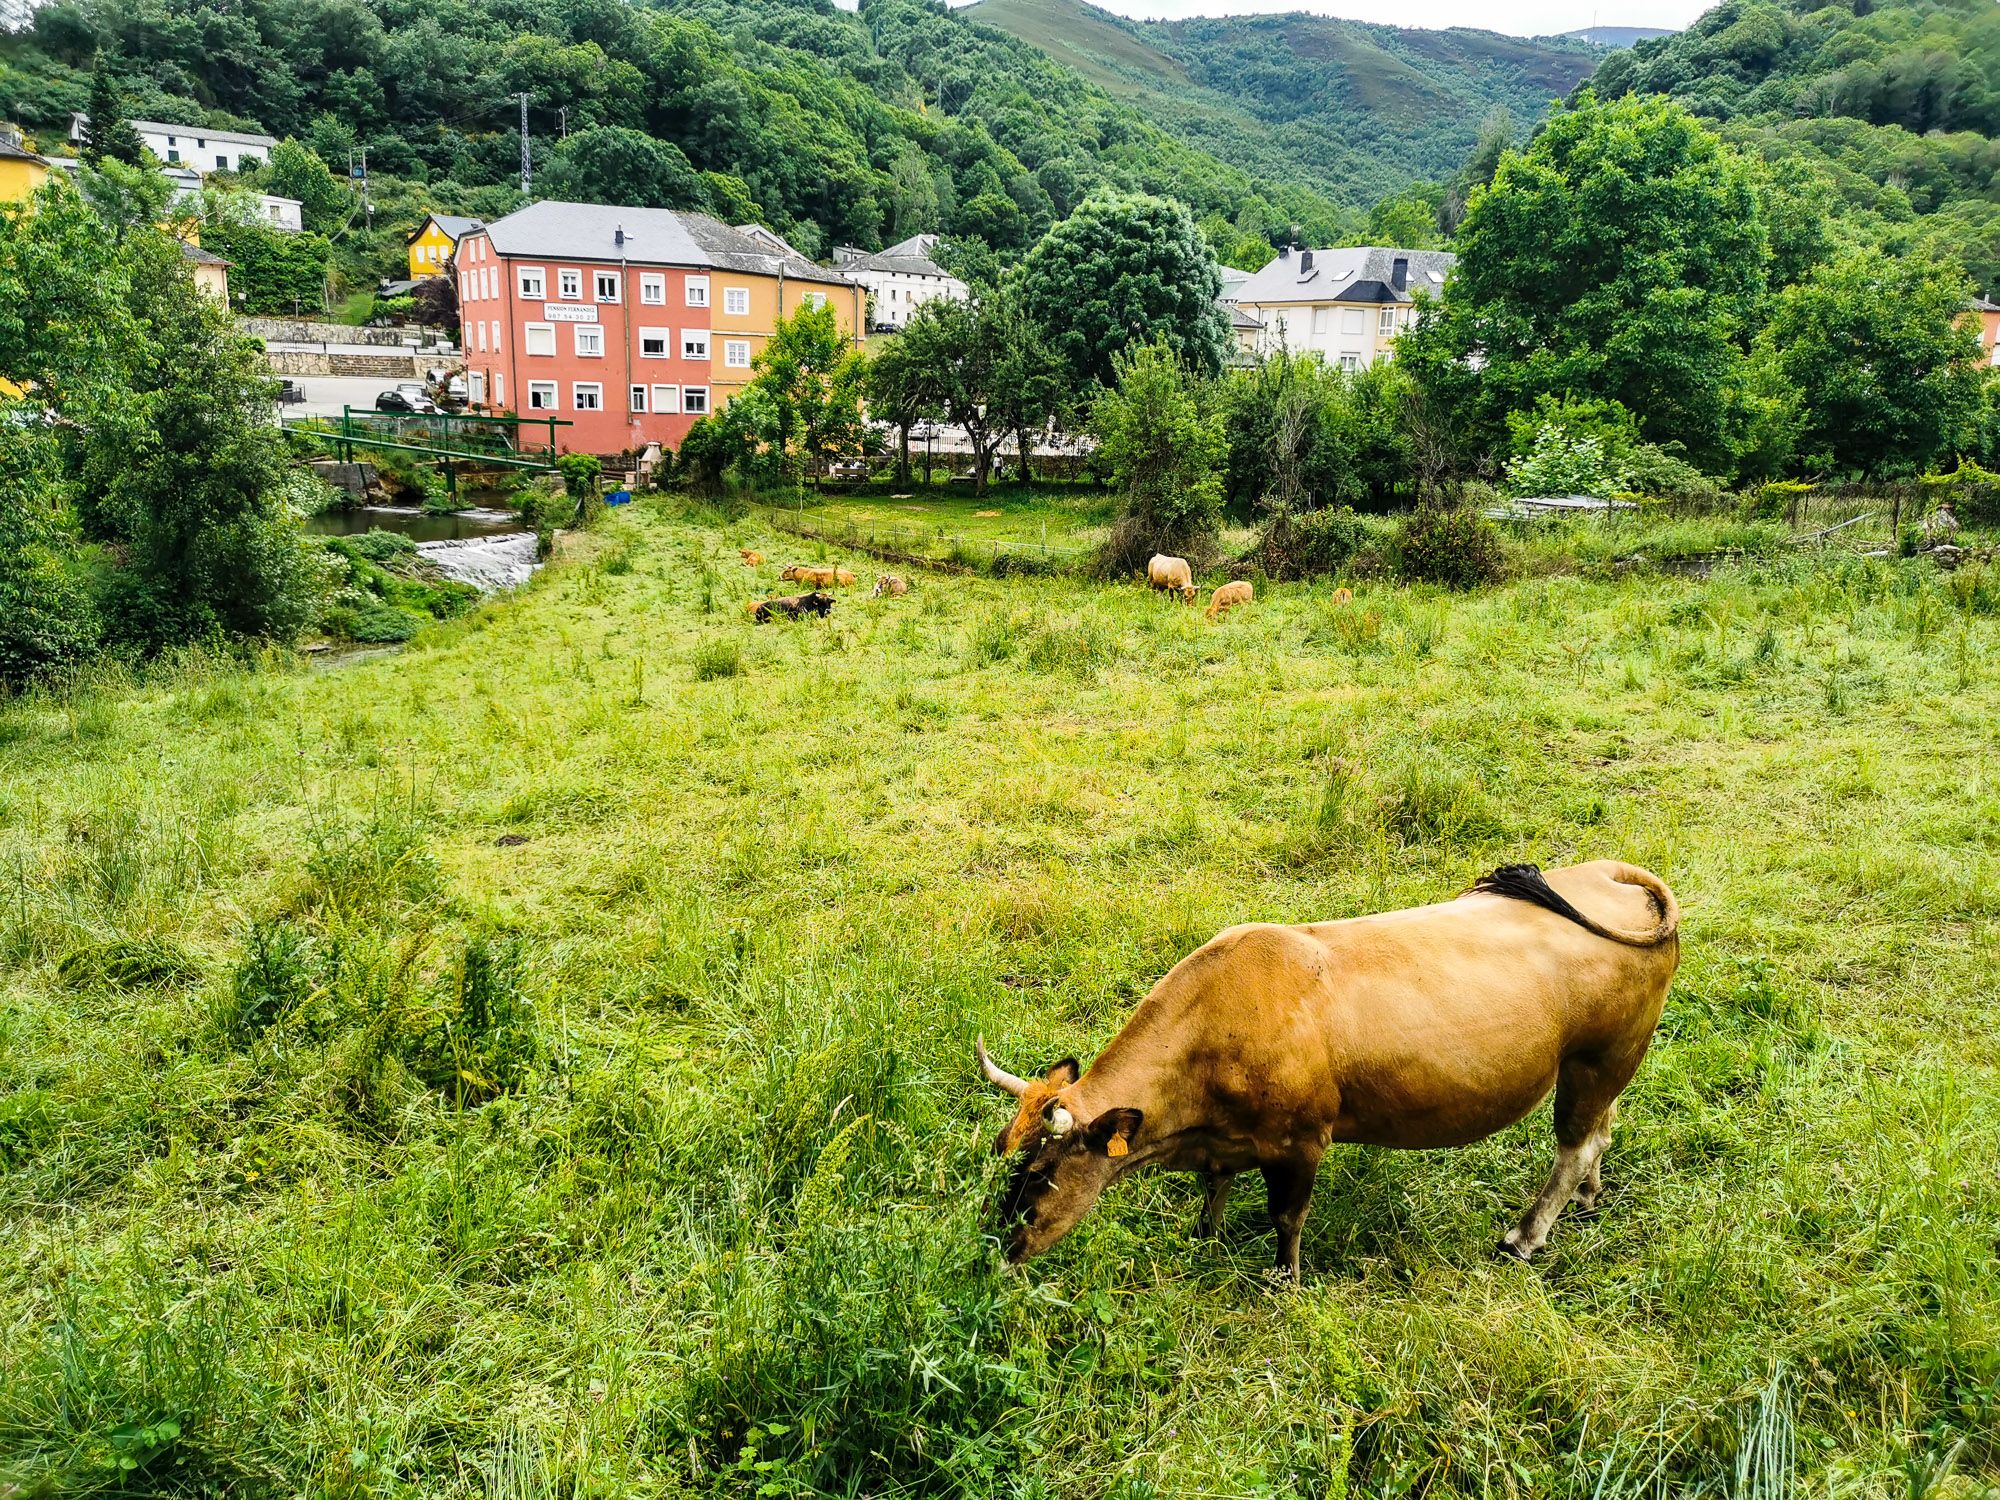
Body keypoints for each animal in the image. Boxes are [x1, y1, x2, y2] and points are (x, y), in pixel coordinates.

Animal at [978, 861, 1680, 1278]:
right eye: (1005, 1156)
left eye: (1039, 1175)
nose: (994, 1248)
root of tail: (1612, 877)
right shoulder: (1225, 1141)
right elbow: (1214, 1188)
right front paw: (1204, 1237)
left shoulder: (1299, 1141)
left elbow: (1286, 1217)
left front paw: (1283, 1278)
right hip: (1603, 1065)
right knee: (1600, 1133)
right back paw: (1586, 1201)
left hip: (1599, 1058)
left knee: (1574, 1144)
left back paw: (1527, 1235)